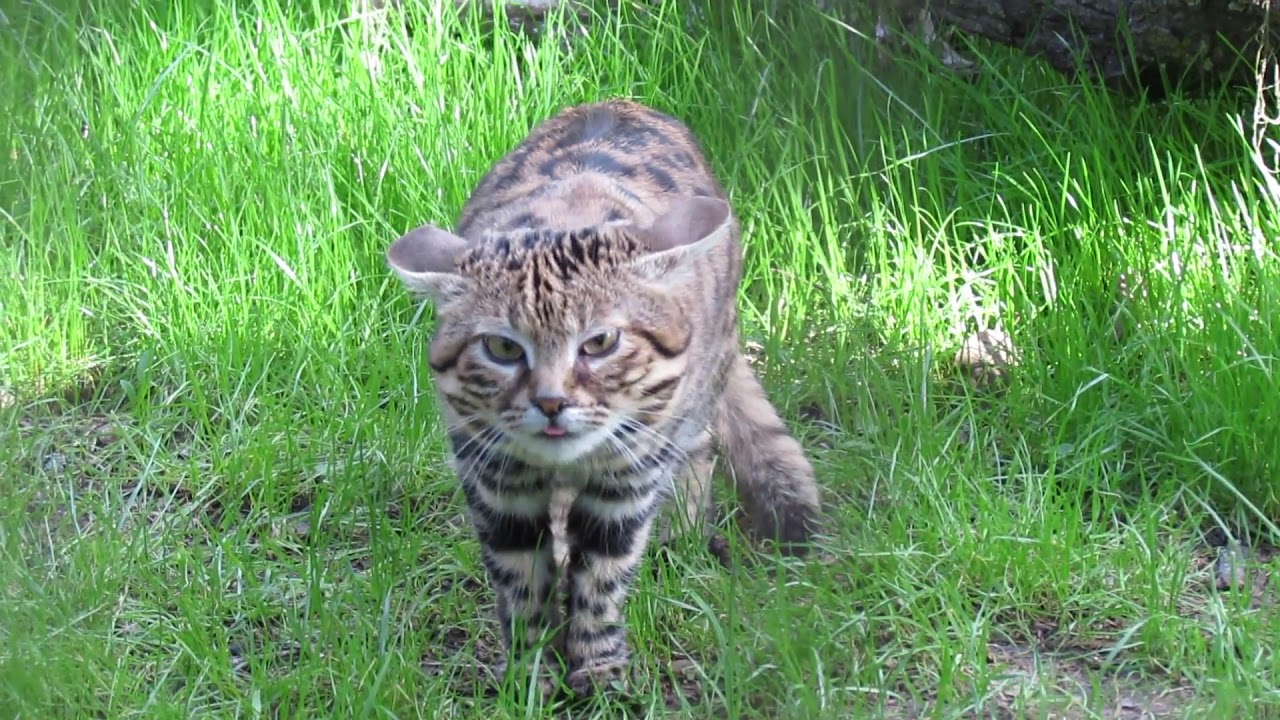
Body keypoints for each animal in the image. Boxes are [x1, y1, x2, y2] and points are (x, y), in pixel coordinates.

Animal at [384, 98, 819, 691]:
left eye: (601, 342)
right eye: (502, 347)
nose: (550, 402)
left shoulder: (627, 481)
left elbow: (602, 579)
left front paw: (599, 669)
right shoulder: (495, 480)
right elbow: (521, 583)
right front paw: (531, 674)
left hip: (698, 391)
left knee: (698, 450)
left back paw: (680, 538)